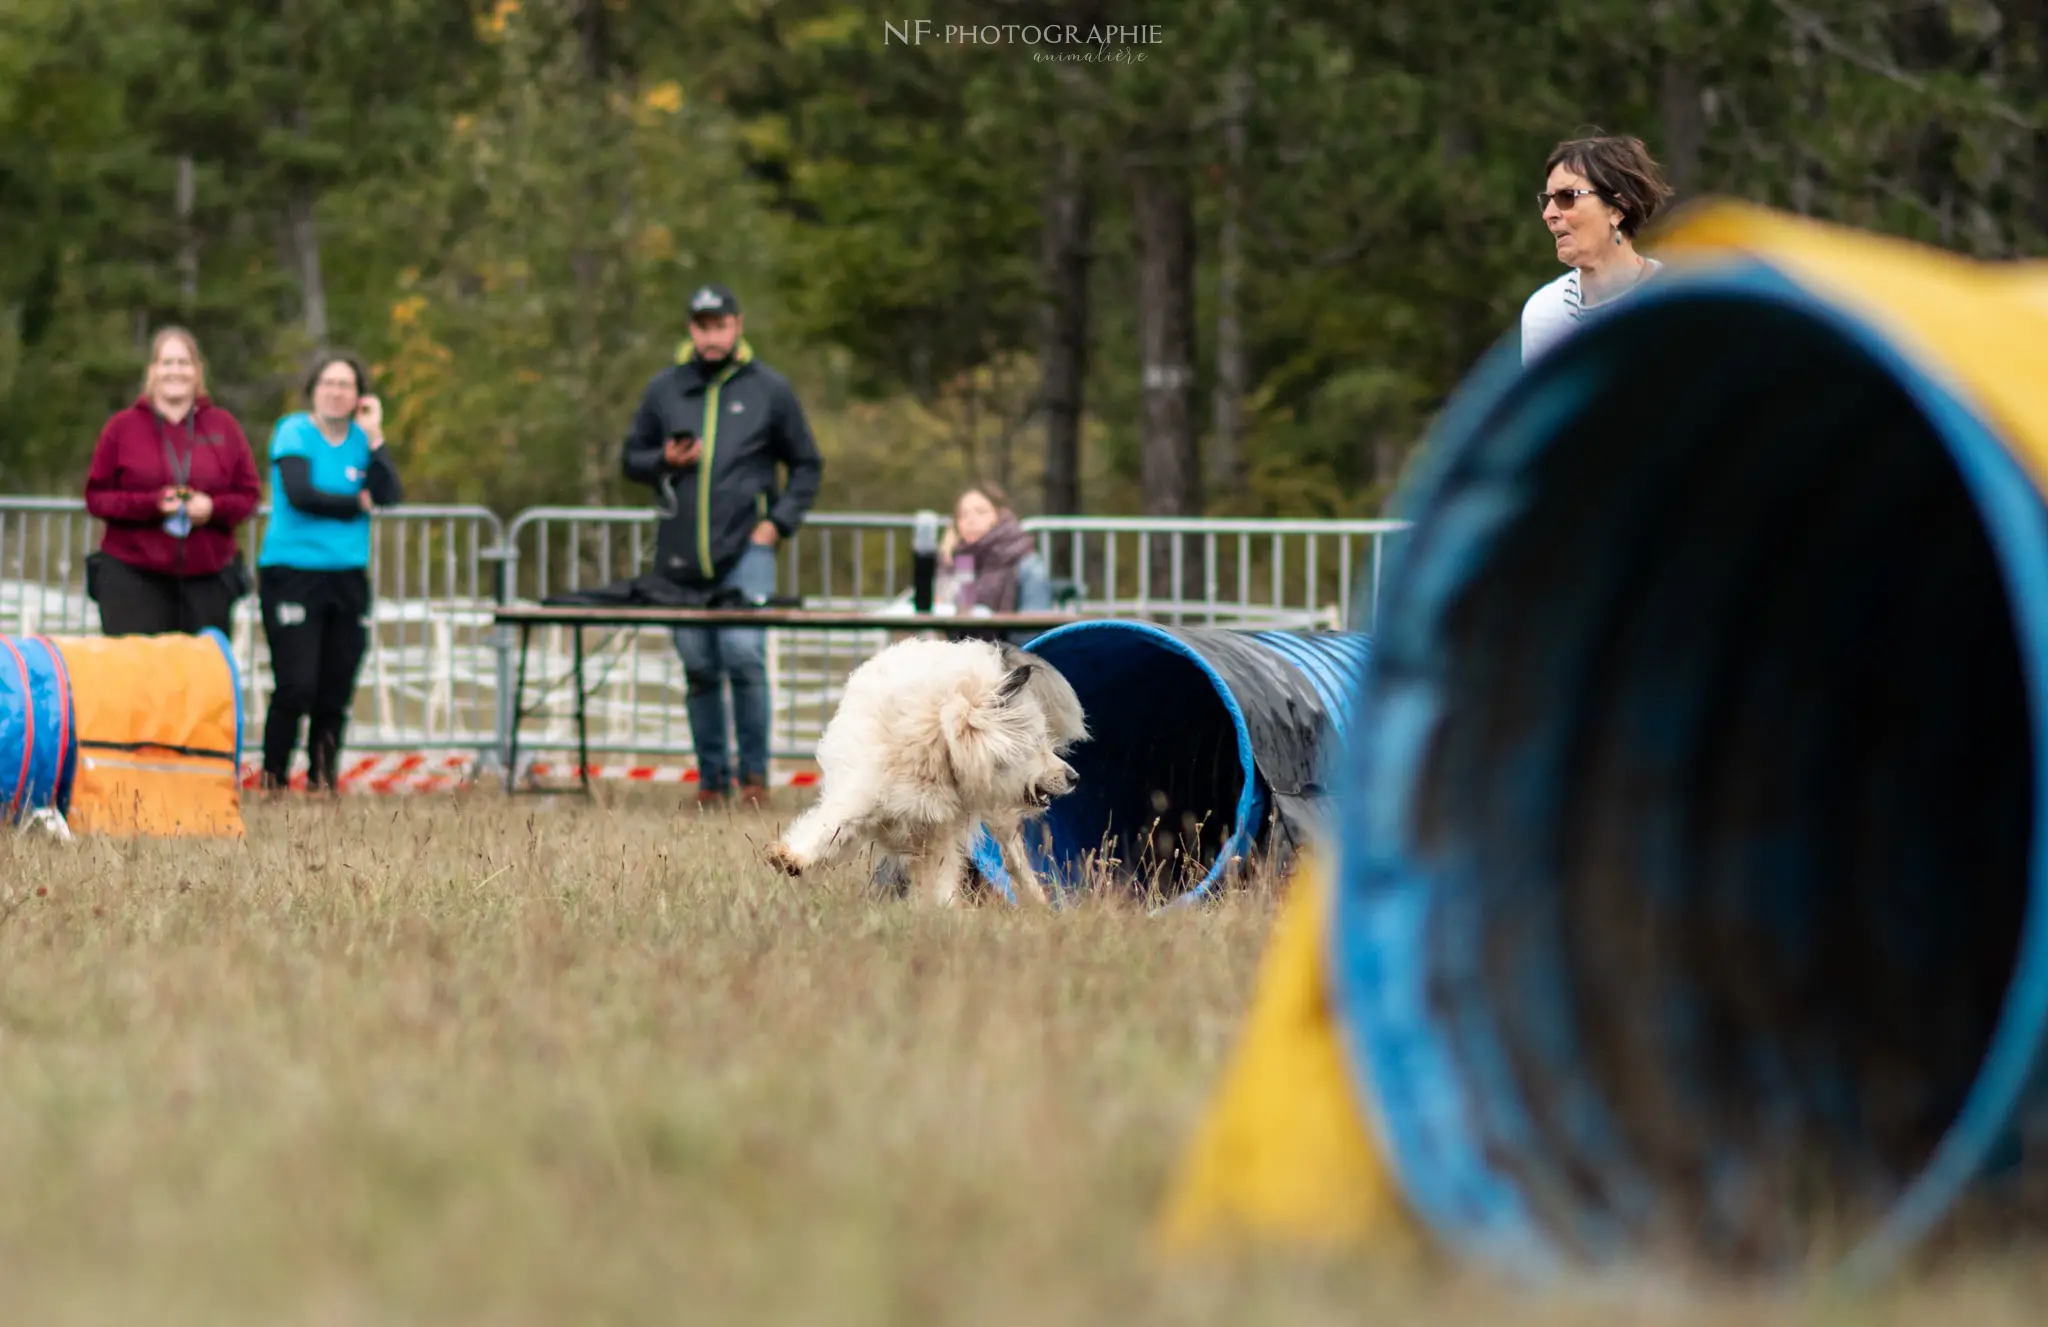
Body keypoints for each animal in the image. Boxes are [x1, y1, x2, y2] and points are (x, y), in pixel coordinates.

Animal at [765, 638, 1089, 905]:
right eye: (1036, 744)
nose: (1075, 778)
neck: (943, 746)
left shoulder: (940, 835)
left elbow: (942, 881)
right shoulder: (864, 793)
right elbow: (830, 826)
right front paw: (792, 858)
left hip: (1001, 822)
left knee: (1016, 861)